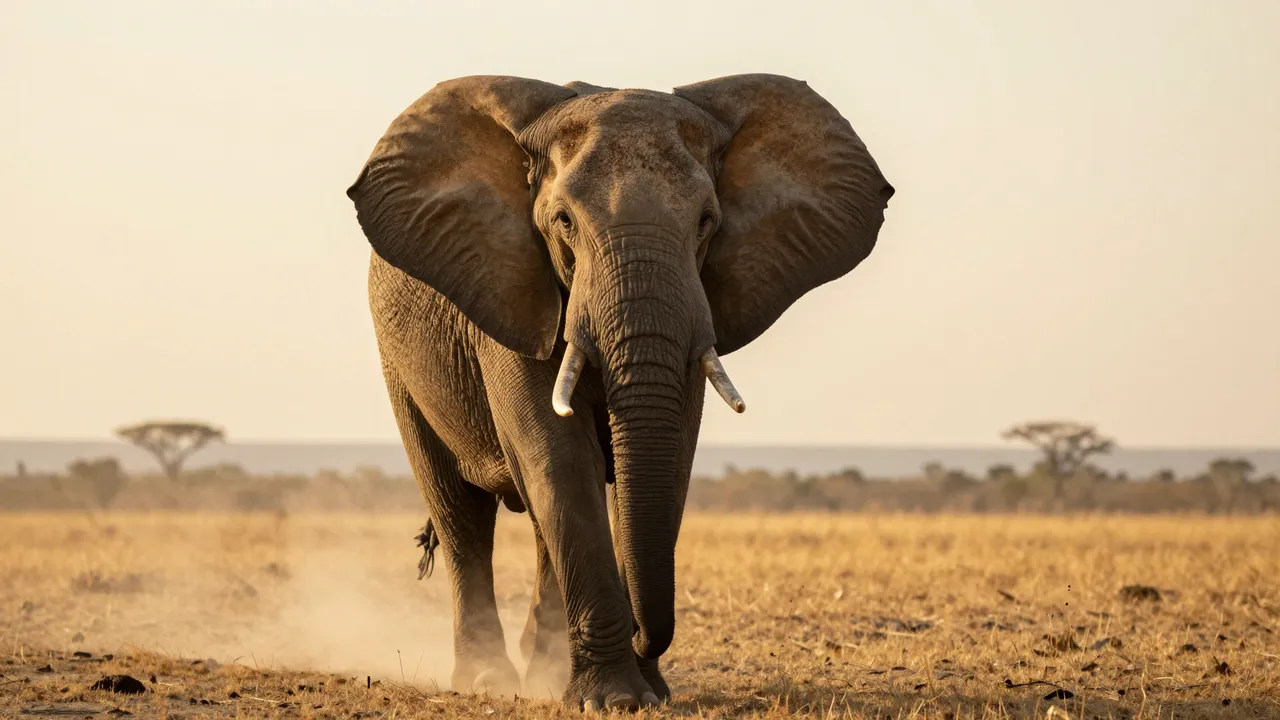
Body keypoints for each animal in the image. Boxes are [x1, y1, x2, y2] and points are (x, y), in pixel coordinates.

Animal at [345, 73, 894, 711]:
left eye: (706, 221)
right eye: (562, 221)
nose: (642, 640)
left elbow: (669, 461)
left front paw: (645, 692)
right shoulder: (513, 290)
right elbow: (558, 457)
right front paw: (612, 700)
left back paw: (543, 671)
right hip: (399, 360)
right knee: (461, 510)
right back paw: (487, 680)